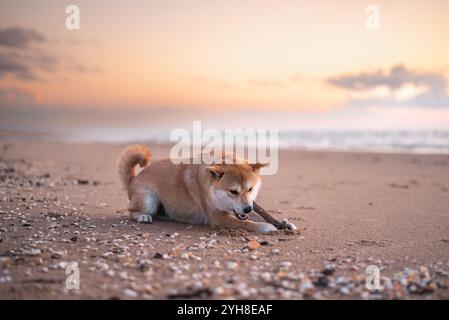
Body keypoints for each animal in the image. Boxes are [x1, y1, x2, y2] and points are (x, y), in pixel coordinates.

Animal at [116, 145, 276, 232]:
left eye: (250, 189)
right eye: (233, 191)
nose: (247, 209)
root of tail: (133, 180)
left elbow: (252, 217)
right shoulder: (218, 217)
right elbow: (247, 223)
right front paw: (266, 227)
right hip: (148, 199)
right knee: (131, 211)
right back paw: (142, 216)